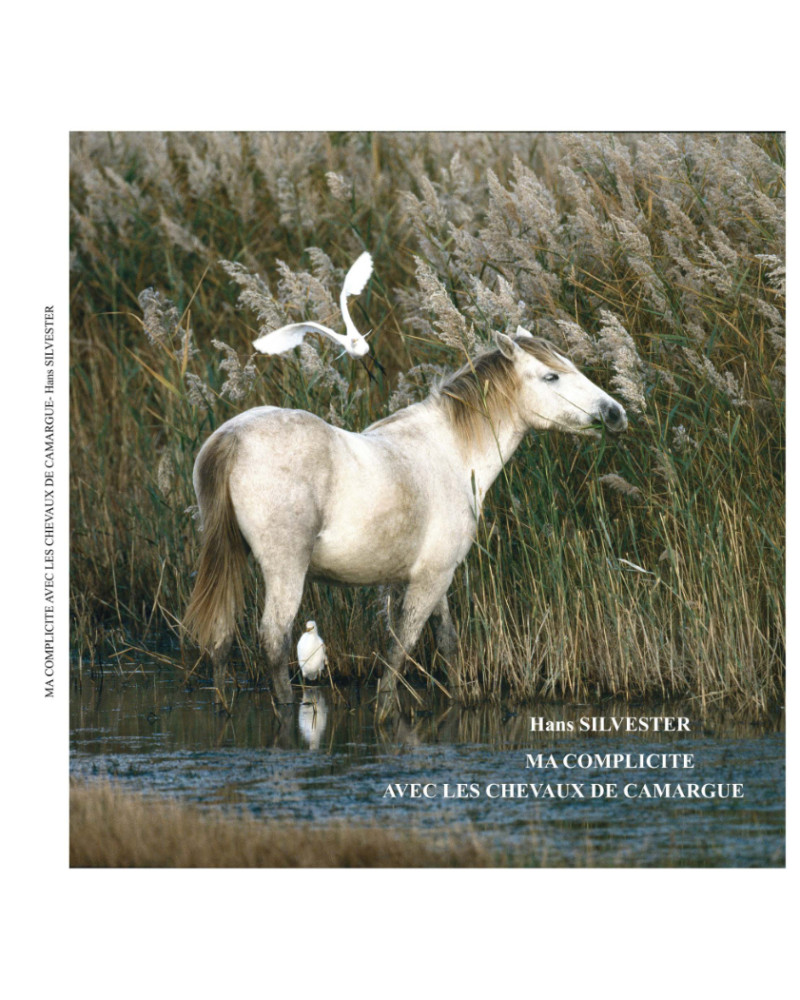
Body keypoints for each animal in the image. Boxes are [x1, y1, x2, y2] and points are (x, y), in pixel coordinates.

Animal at [183, 329, 627, 716]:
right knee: (274, 640)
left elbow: (446, 642)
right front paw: (385, 712)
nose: (615, 413)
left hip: (230, 559)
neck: (452, 453)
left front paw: (457, 700)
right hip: (285, 568)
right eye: (551, 375)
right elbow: (401, 648)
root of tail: (234, 435)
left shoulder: (435, 577)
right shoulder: (431, 578)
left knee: (221, 638)